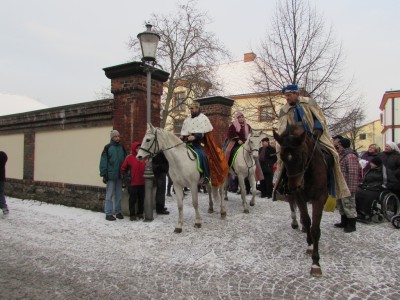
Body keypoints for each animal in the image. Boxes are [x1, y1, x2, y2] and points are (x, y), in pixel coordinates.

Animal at [276, 125, 328, 276]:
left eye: (300, 155)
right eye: (282, 157)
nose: (293, 186)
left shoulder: (319, 198)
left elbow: (315, 228)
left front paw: (316, 263)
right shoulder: (299, 196)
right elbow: (306, 219)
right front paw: (310, 244)